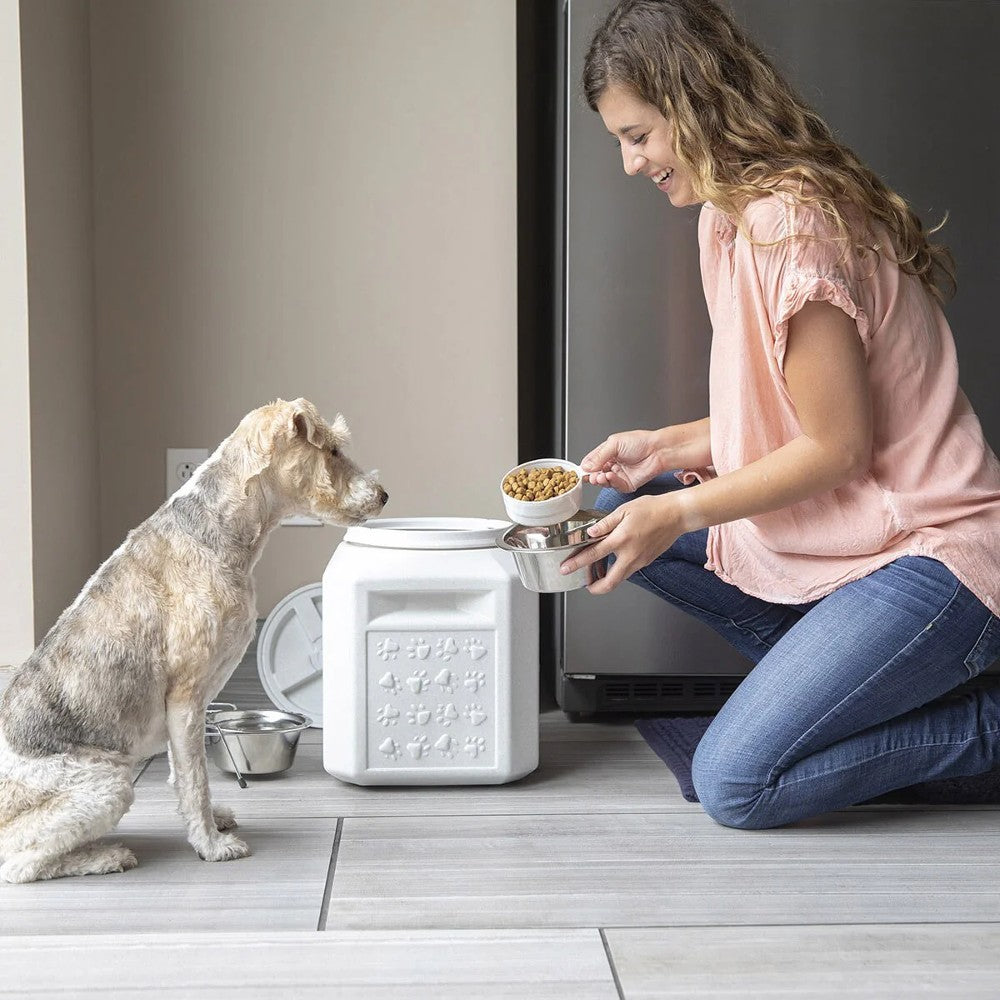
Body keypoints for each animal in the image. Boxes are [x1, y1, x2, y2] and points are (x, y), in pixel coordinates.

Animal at [0, 398, 386, 884]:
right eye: (332, 449)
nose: (384, 495)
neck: (225, 529)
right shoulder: (185, 696)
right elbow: (194, 780)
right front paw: (212, 845)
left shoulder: (189, 708)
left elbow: (181, 775)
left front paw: (213, 822)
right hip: (106, 785)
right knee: (20, 864)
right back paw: (107, 856)